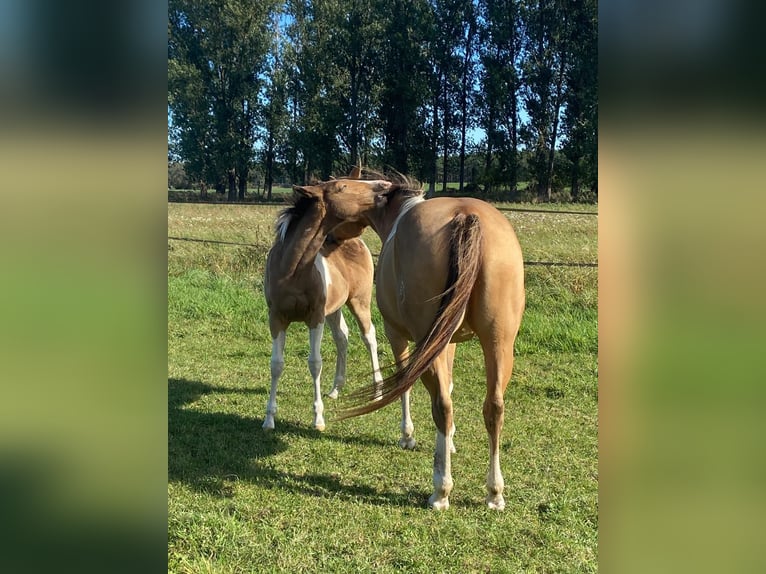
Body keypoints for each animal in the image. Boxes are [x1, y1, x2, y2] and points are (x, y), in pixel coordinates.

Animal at [261, 174, 392, 431]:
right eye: (341, 187)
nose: (384, 186)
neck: (292, 271)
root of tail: (357, 242)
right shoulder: (277, 318)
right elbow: (276, 364)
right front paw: (269, 418)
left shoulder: (315, 317)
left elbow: (315, 363)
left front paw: (318, 419)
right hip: (334, 309)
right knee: (342, 337)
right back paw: (335, 389)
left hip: (359, 302)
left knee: (369, 337)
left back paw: (377, 391)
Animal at [325, 175, 526, 510]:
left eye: (335, 197)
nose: (326, 239)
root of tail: (465, 216)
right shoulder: (449, 343)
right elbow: (452, 386)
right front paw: (450, 442)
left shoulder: (398, 336)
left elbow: (405, 385)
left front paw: (408, 436)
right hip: (498, 343)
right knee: (494, 407)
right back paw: (494, 493)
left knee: (442, 405)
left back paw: (440, 491)